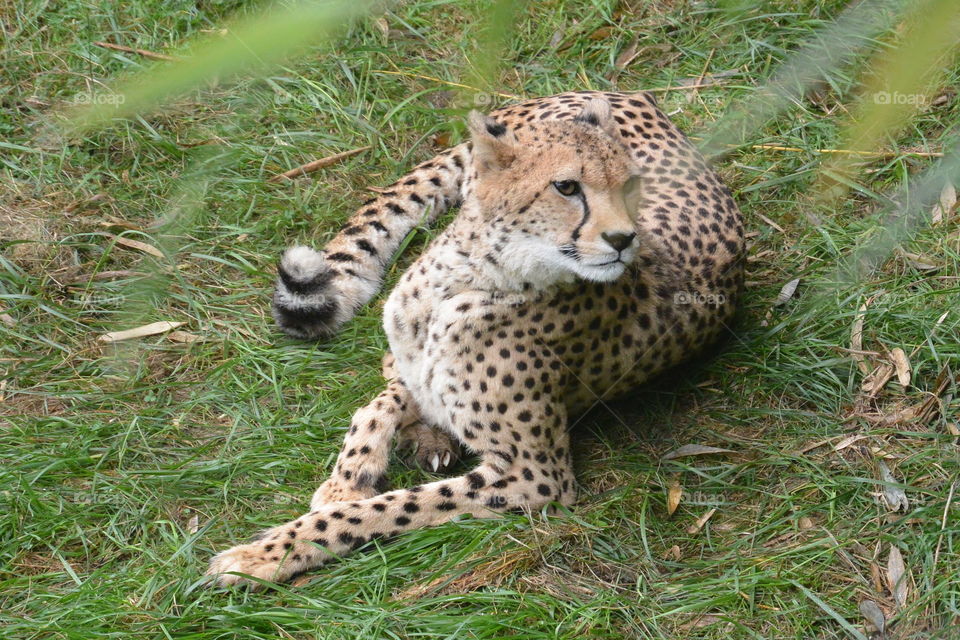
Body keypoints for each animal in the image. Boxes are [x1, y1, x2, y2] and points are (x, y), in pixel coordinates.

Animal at [207, 90, 744, 587]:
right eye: (567, 186)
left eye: (630, 184)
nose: (624, 239)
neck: (469, 277)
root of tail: (620, 92)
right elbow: (380, 404)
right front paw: (346, 483)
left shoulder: (537, 477)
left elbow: (393, 506)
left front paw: (269, 553)